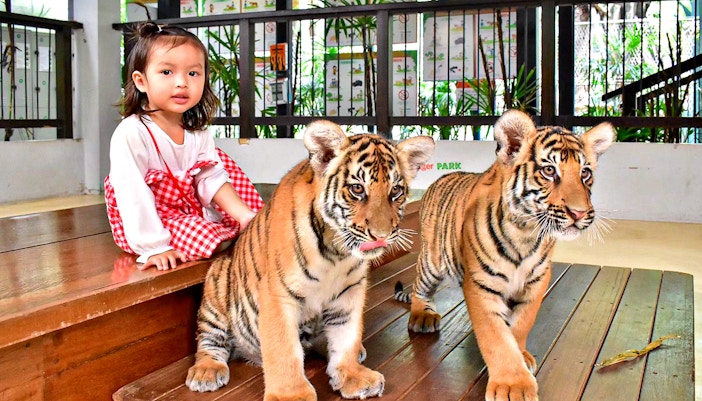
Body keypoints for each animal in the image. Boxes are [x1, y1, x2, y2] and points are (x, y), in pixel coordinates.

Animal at [185, 119, 435, 401]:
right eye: (357, 189)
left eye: (396, 191)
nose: (381, 236)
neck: (337, 253)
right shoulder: (278, 296)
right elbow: (284, 350)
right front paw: (291, 395)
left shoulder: (349, 293)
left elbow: (345, 336)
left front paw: (352, 375)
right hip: (216, 290)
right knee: (209, 340)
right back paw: (206, 371)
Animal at [402, 110, 614, 401]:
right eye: (549, 170)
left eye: (585, 173)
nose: (579, 213)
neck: (526, 233)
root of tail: (440, 179)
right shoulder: (481, 284)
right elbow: (494, 336)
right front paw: (513, 385)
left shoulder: (537, 280)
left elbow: (522, 323)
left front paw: (521, 356)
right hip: (432, 261)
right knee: (419, 287)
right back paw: (422, 315)